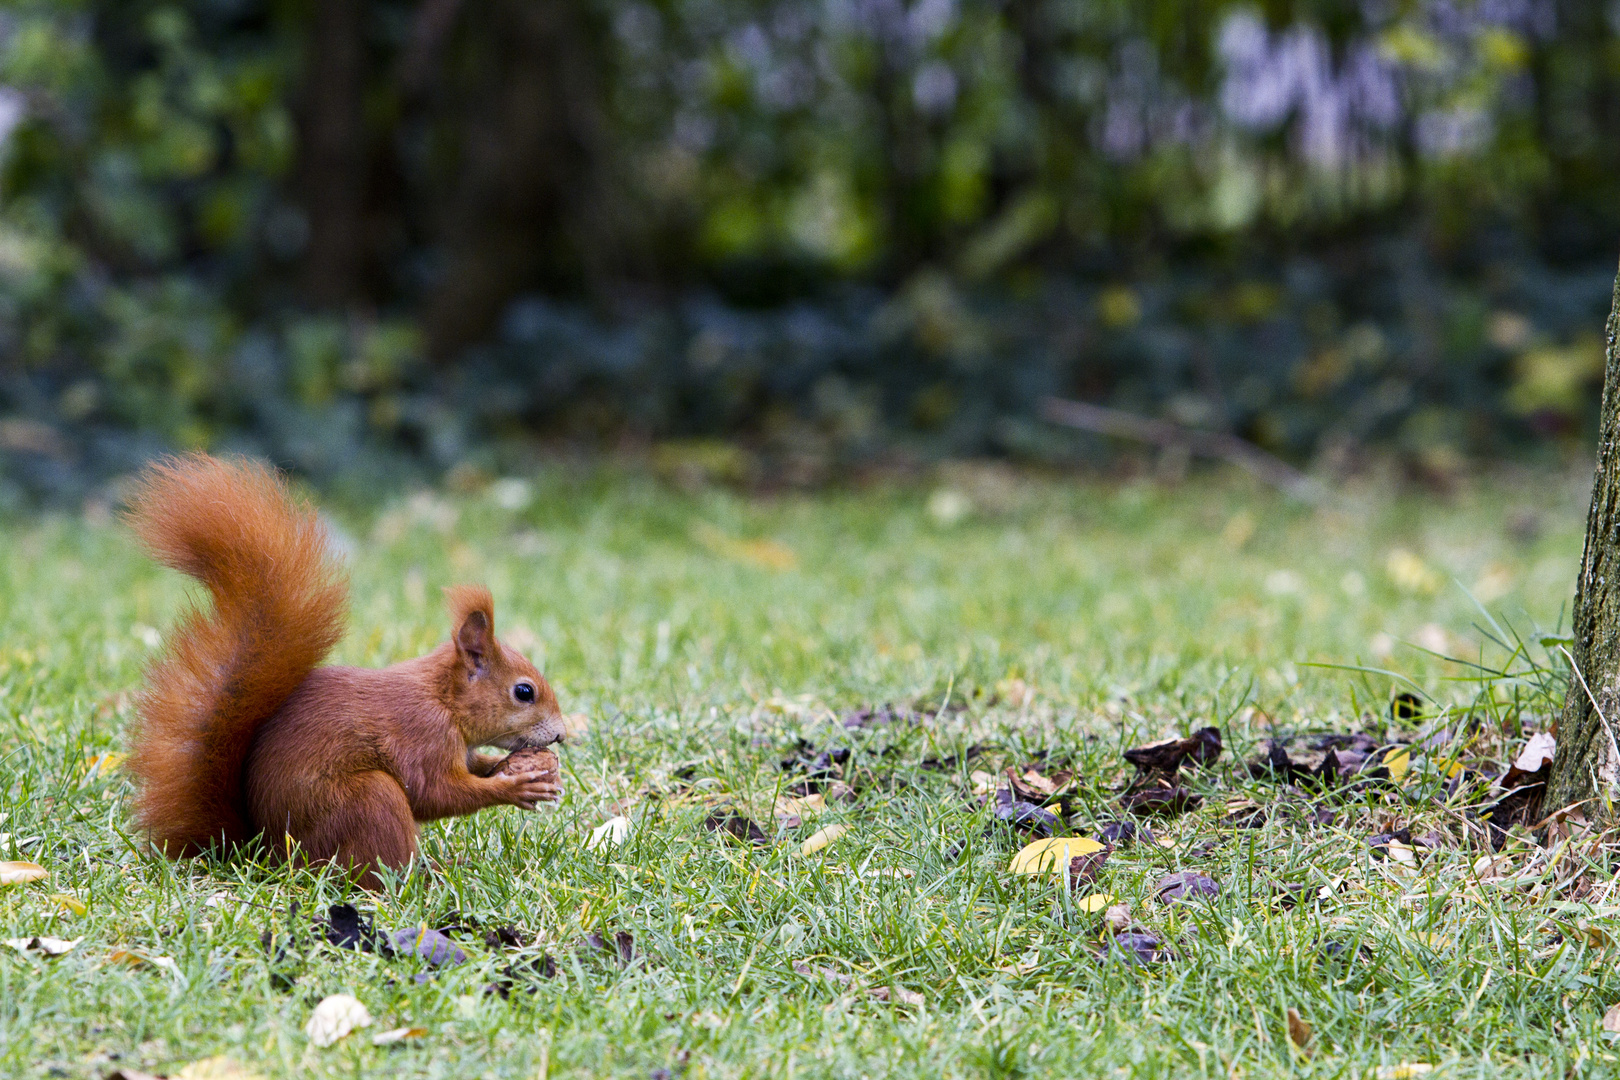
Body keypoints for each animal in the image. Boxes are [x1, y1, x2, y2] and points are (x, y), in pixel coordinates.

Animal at [121, 456, 563, 887]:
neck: (443, 698)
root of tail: (265, 855)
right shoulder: (421, 735)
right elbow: (433, 793)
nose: (560, 734)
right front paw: (514, 786)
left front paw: (506, 769)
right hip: (366, 801)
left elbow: (470, 769)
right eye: (524, 692)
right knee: (375, 872)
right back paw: (430, 874)